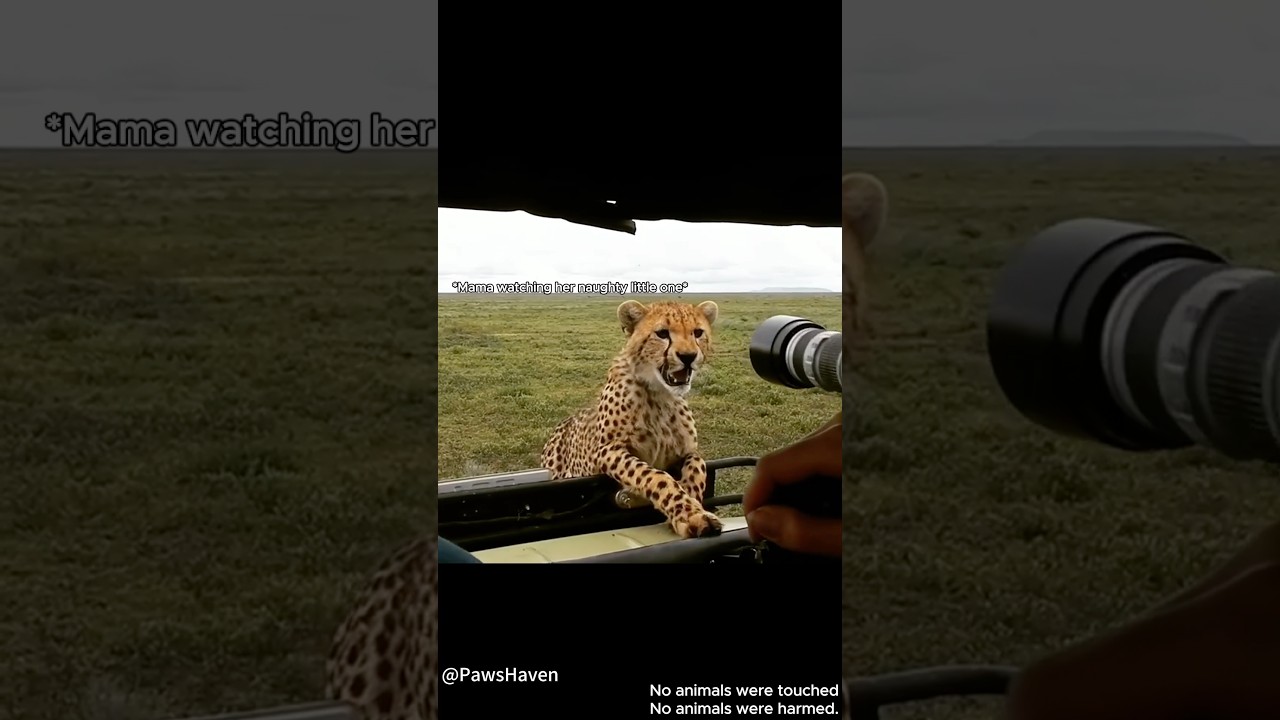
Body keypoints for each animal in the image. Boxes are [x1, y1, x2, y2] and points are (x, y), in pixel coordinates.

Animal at [540, 299, 723, 539]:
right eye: (662, 333)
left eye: (698, 332)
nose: (688, 356)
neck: (660, 395)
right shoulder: (608, 451)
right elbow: (654, 476)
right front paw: (689, 514)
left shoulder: (688, 451)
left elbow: (697, 466)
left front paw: (693, 501)